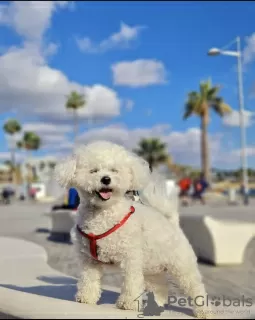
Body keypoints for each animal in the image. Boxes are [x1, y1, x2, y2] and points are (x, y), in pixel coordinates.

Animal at [54, 141, 212, 318]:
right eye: (93, 171)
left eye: (114, 170)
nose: (106, 179)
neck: (103, 215)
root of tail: (172, 223)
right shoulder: (89, 260)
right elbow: (89, 280)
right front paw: (86, 298)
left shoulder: (131, 258)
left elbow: (132, 282)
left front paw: (128, 304)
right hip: (151, 266)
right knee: (159, 286)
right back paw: (157, 304)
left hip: (182, 266)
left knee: (196, 287)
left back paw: (204, 311)